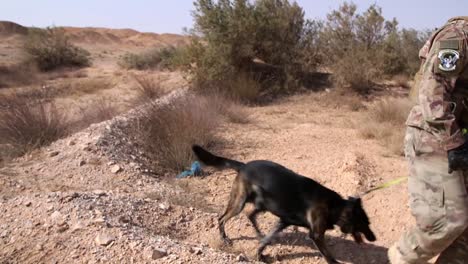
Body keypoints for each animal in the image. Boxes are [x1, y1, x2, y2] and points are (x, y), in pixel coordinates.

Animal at [192, 145, 378, 262]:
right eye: (364, 223)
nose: (373, 238)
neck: (334, 206)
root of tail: (244, 165)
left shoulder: (283, 221)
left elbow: (266, 240)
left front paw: (260, 254)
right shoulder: (316, 235)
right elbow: (329, 256)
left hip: (262, 203)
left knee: (250, 214)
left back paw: (257, 233)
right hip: (239, 202)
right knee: (222, 218)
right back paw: (224, 238)